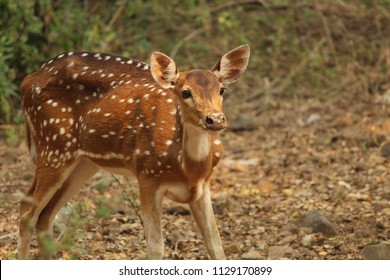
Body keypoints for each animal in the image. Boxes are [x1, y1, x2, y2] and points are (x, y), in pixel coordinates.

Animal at [19, 44, 250, 260]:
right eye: (185, 92)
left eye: (221, 89)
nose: (215, 119)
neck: (187, 167)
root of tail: (27, 81)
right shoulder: (147, 175)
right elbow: (155, 247)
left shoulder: (204, 185)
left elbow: (216, 245)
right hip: (53, 145)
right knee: (26, 212)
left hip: (83, 161)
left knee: (45, 215)